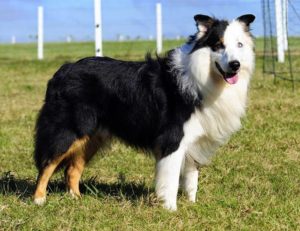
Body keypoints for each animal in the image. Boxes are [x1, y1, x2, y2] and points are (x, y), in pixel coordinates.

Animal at [34, 13, 255, 210]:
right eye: (218, 45)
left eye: (239, 45)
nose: (235, 65)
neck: (202, 76)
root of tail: (63, 70)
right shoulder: (173, 139)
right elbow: (171, 180)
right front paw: (170, 209)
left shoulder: (195, 140)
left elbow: (192, 179)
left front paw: (192, 205)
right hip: (68, 129)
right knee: (47, 164)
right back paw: (39, 199)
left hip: (92, 137)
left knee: (72, 169)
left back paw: (77, 200)